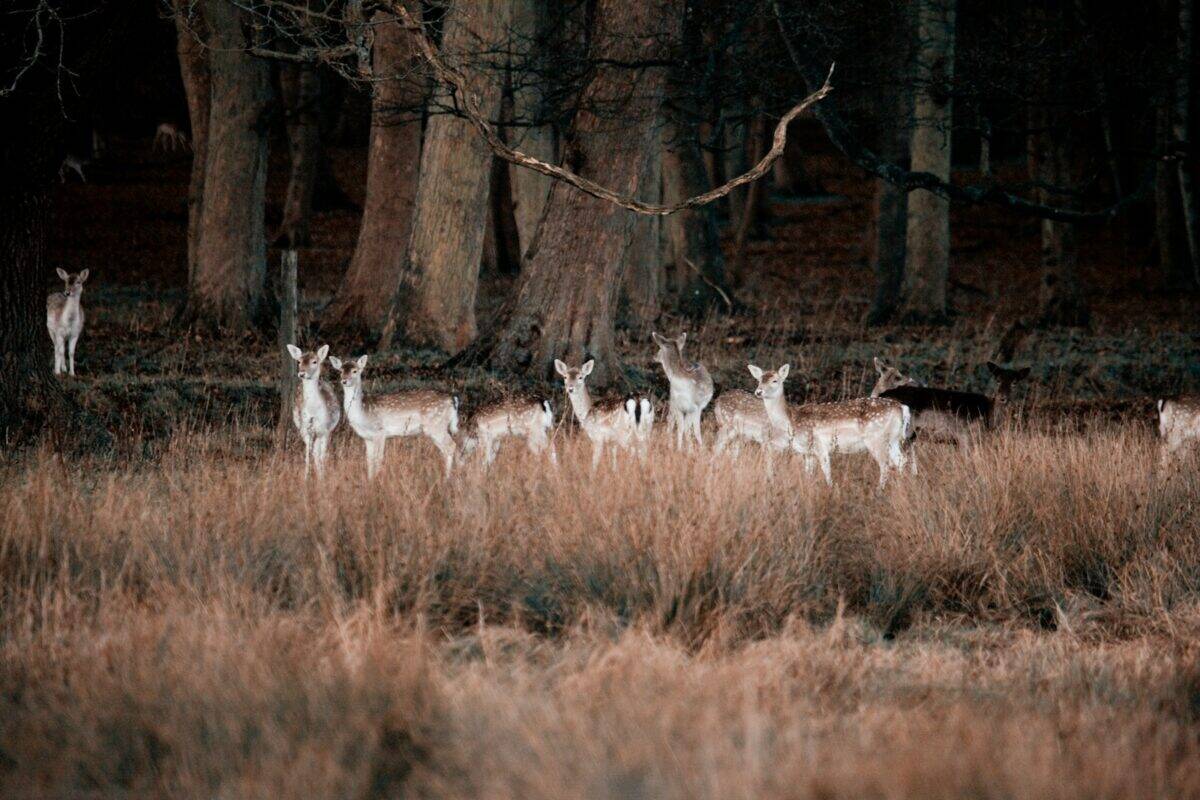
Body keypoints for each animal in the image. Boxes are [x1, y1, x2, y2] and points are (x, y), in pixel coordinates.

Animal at [286, 344, 341, 477]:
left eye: (314, 361)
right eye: (299, 361)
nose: (302, 373)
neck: (313, 411)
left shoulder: (325, 430)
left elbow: (322, 456)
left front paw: (323, 478)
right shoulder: (304, 430)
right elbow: (307, 456)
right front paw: (306, 477)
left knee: (318, 453)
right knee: (314, 452)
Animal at [329, 355, 459, 480]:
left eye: (355, 371)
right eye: (340, 371)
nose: (344, 381)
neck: (362, 412)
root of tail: (452, 400)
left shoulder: (380, 432)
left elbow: (378, 458)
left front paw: (376, 481)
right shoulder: (367, 437)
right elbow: (369, 460)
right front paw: (369, 480)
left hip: (436, 425)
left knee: (451, 446)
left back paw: (447, 478)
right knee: (447, 449)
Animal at [750, 363, 911, 487]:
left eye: (775, 380)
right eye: (758, 380)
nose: (758, 391)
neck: (791, 420)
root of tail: (902, 408)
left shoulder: (820, 446)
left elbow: (827, 473)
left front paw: (830, 490)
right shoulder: (807, 452)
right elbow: (808, 474)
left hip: (876, 438)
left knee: (886, 465)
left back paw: (879, 492)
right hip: (893, 439)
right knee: (902, 461)